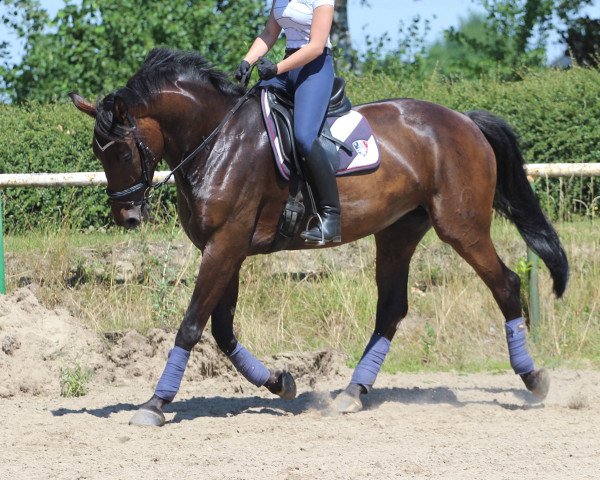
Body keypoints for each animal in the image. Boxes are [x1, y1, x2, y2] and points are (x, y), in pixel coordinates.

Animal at [70, 47, 568, 426]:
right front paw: (280, 383)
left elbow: (192, 325)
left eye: (120, 151)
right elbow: (223, 330)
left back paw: (534, 379)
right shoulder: (225, 249)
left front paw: (155, 403)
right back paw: (353, 391)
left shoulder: (224, 246)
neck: (217, 142)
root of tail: (463, 120)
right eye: (99, 152)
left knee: (505, 284)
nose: (126, 215)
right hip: (398, 231)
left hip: (461, 227)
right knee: (391, 309)